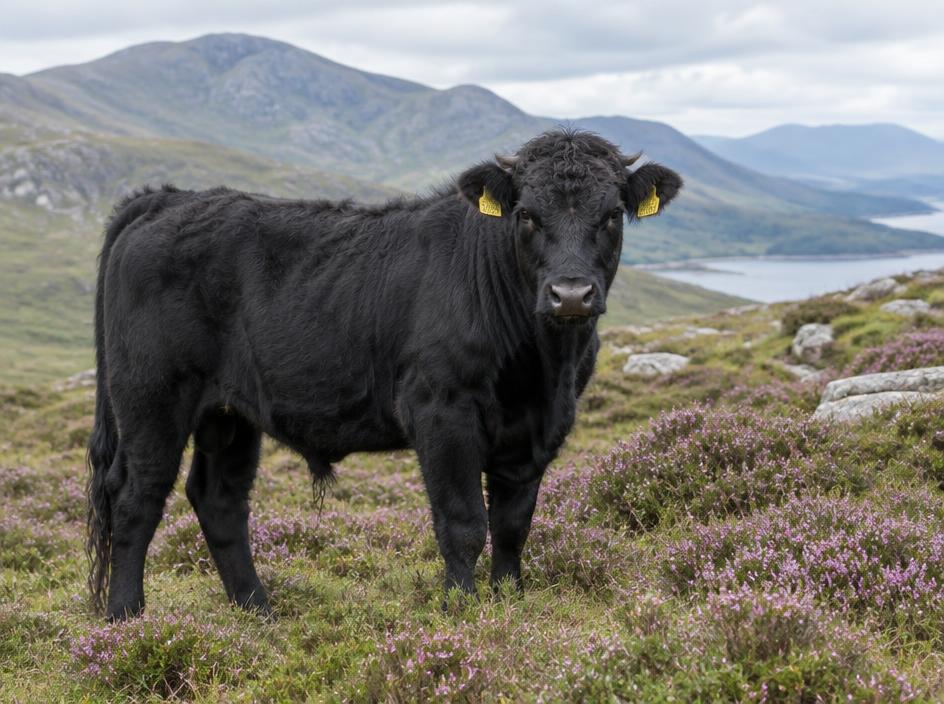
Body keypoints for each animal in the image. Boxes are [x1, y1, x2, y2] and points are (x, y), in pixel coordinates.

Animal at [85, 128, 682, 620]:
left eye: (612, 215)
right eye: (528, 215)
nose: (571, 294)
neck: (543, 366)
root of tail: (166, 198)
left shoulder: (536, 429)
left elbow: (513, 525)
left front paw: (509, 603)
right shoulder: (441, 410)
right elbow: (464, 523)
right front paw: (462, 611)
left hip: (228, 412)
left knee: (219, 500)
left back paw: (257, 610)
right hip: (151, 396)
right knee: (135, 495)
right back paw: (126, 618)